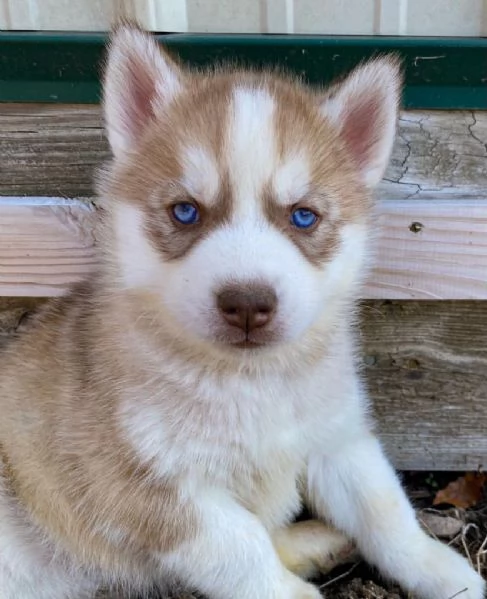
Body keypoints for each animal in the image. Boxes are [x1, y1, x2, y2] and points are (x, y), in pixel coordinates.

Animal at [0, 23, 484, 599]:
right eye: (186, 212)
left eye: (303, 216)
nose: (248, 303)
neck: (252, 381)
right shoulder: (148, 488)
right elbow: (243, 548)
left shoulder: (338, 438)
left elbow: (386, 510)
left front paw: (445, 571)